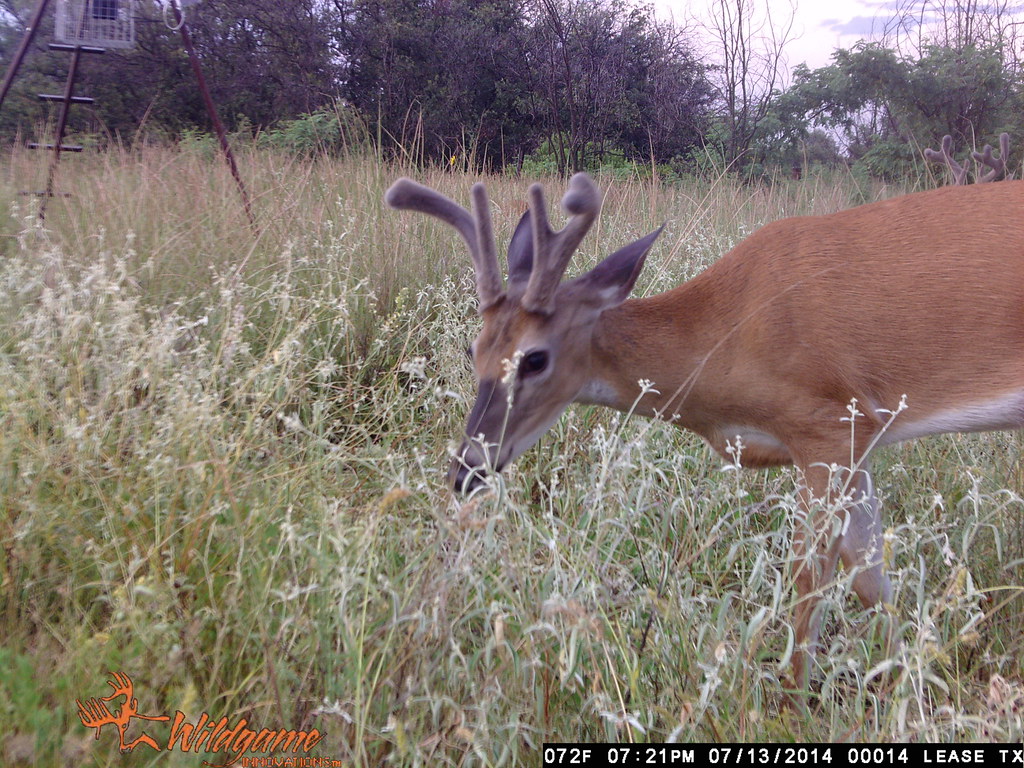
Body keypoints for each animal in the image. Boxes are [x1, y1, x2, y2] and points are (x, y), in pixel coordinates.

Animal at [385, 172, 1024, 690]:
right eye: (474, 348)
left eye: (535, 358)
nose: (466, 468)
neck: (730, 331)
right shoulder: (859, 439)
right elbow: (871, 577)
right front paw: (905, 687)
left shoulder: (826, 424)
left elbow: (808, 583)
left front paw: (794, 703)